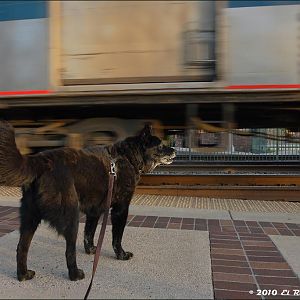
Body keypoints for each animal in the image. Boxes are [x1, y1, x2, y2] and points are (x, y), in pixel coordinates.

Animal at [0, 122, 176, 282]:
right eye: (161, 145)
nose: (174, 150)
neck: (127, 157)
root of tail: (40, 160)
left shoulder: (95, 211)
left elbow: (89, 233)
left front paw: (91, 250)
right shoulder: (121, 208)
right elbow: (117, 237)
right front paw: (122, 254)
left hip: (30, 219)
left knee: (21, 248)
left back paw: (23, 275)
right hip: (71, 217)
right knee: (69, 251)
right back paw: (75, 274)